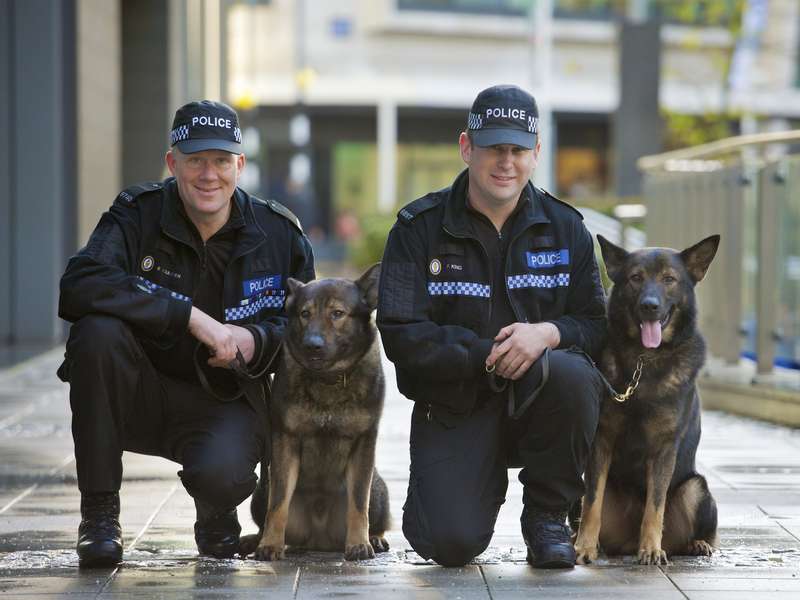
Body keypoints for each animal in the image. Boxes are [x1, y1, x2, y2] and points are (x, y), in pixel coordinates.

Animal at [241, 264, 390, 564]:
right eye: (304, 313)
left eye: (338, 313)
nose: (312, 344)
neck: (329, 379)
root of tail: (319, 541)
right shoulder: (285, 442)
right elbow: (278, 505)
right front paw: (270, 544)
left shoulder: (364, 443)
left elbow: (359, 503)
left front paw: (358, 543)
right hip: (262, 488)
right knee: (267, 514)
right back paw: (257, 540)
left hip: (379, 489)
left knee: (374, 514)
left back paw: (374, 538)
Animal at [572, 234, 720, 568]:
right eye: (636, 278)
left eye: (669, 279)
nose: (649, 306)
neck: (645, 360)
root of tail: (627, 541)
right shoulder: (602, 442)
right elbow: (593, 503)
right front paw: (583, 547)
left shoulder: (664, 449)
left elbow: (655, 505)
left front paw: (651, 549)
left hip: (696, 489)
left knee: (699, 533)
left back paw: (696, 544)